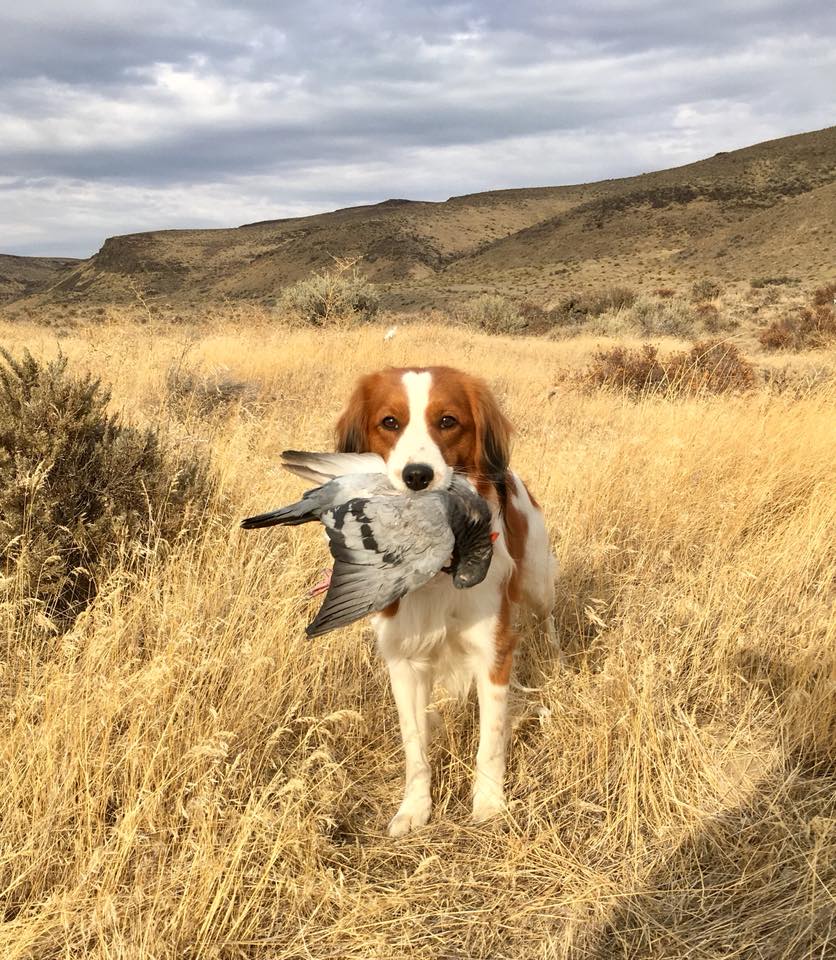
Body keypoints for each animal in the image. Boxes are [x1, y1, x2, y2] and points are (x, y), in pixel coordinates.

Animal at [334, 364, 556, 836]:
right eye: (390, 422)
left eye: (448, 421)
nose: (417, 476)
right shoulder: (403, 661)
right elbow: (414, 747)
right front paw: (414, 808)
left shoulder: (493, 652)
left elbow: (490, 741)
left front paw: (489, 802)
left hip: (537, 583)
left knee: (548, 621)